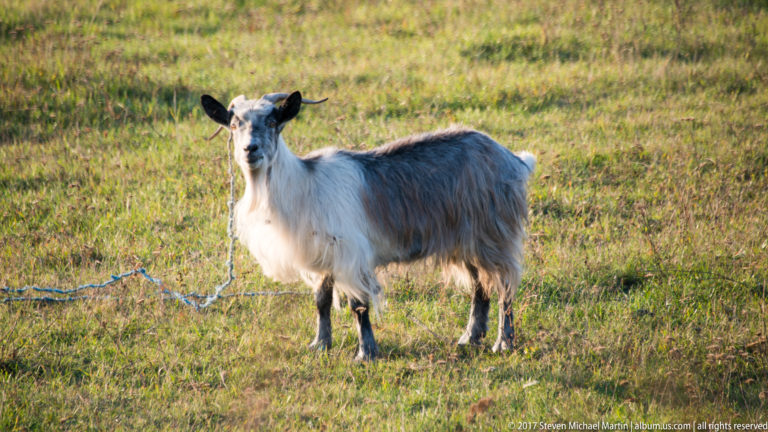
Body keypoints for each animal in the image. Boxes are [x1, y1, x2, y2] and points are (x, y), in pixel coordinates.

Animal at [200, 91, 536, 361]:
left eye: (272, 121)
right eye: (234, 124)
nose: (250, 149)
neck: (302, 185)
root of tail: (514, 160)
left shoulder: (351, 255)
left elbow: (358, 305)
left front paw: (366, 354)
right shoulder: (323, 256)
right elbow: (321, 301)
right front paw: (320, 344)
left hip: (494, 234)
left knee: (504, 285)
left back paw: (503, 343)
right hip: (467, 240)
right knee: (481, 286)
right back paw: (470, 338)